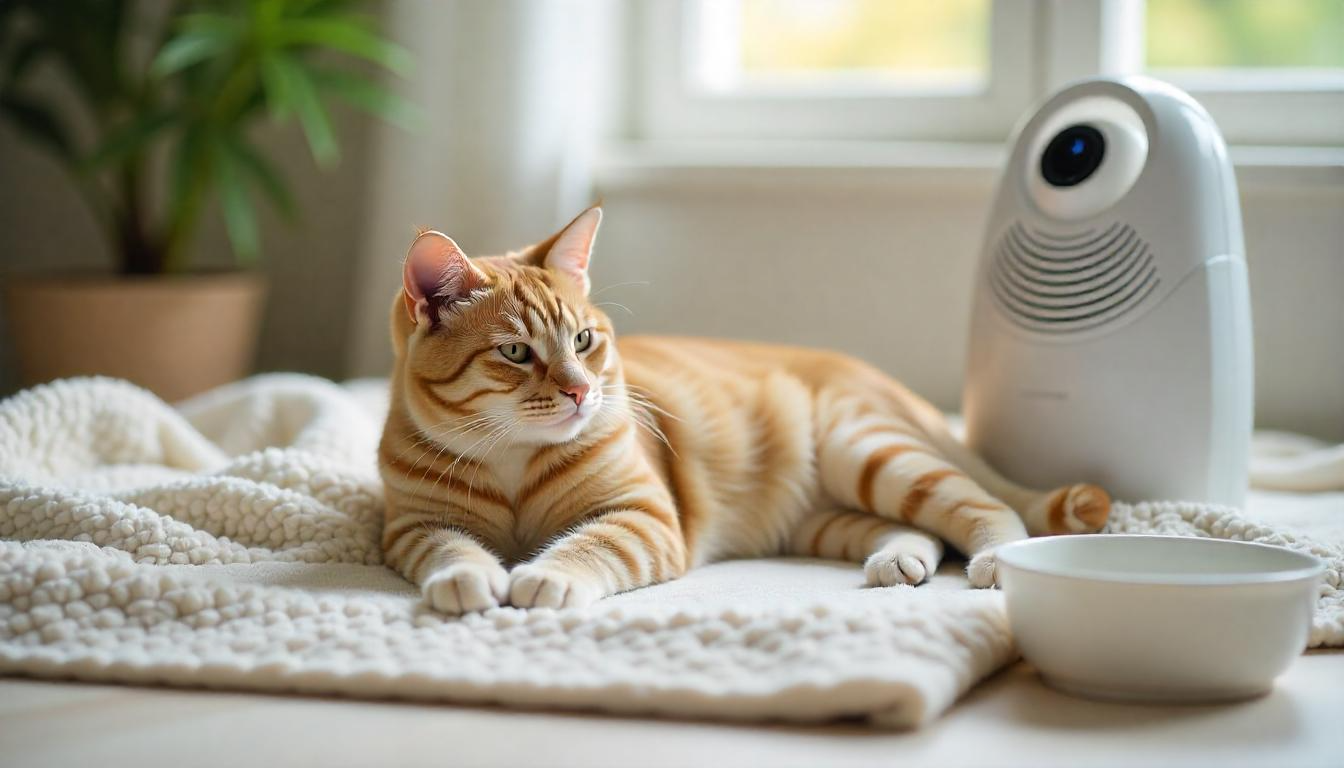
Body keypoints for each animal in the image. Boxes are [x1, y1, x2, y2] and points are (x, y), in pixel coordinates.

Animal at [373, 204, 1107, 613]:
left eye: (583, 340)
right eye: (516, 352)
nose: (582, 391)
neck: (514, 460)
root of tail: (875, 377)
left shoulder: (641, 517)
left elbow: (587, 546)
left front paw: (545, 578)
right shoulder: (413, 525)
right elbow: (449, 547)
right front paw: (468, 578)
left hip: (872, 454)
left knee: (992, 506)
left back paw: (998, 562)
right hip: (826, 518)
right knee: (916, 530)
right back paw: (901, 562)